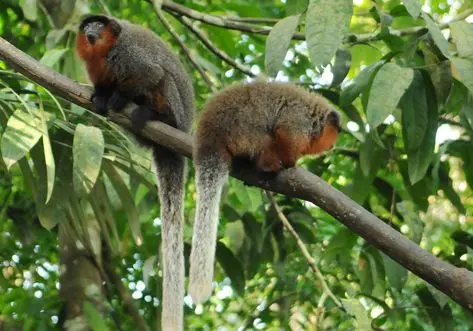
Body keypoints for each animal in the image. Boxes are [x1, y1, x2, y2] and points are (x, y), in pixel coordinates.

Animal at [75, 14, 194, 330]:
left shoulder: (127, 54)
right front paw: (100, 97)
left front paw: (118, 98)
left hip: (176, 114)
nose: (90, 31)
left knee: (162, 79)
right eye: (86, 26)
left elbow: (151, 74)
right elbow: (102, 86)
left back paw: (154, 115)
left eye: (97, 25)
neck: (103, 50)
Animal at [188, 81, 340, 304]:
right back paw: (269, 166)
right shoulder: (298, 120)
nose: (333, 145)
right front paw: (290, 162)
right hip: (243, 131)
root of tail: (210, 131)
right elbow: (285, 132)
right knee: (265, 137)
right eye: (333, 135)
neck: (314, 117)